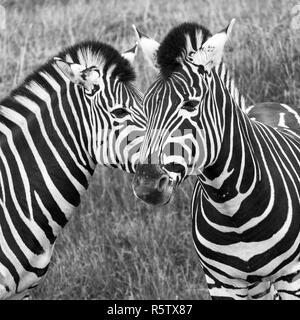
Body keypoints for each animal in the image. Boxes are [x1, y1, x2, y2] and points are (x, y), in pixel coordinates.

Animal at [132, 20, 300, 300]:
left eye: (190, 104)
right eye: (146, 108)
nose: (147, 185)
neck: (233, 210)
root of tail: (269, 104)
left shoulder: (293, 276)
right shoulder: (221, 283)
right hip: (258, 285)